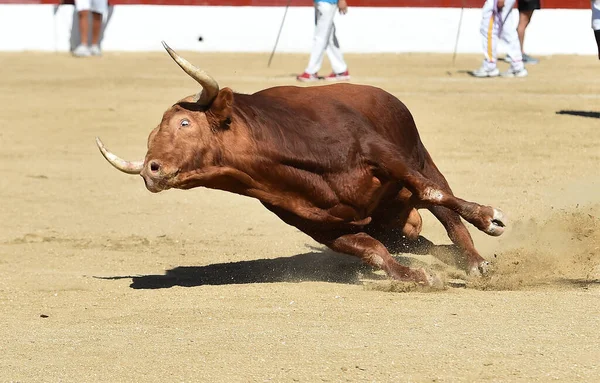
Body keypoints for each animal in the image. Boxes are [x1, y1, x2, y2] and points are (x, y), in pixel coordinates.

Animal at [97, 42, 506, 288]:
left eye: (184, 123)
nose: (150, 169)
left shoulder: (384, 155)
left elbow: (433, 192)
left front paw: (490, 217)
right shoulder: (321, 226)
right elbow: (373, 251)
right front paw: (418, 277)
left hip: (421, 157)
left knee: (445, 208)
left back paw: (476, 262)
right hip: (392, 222)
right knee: (419, 240)